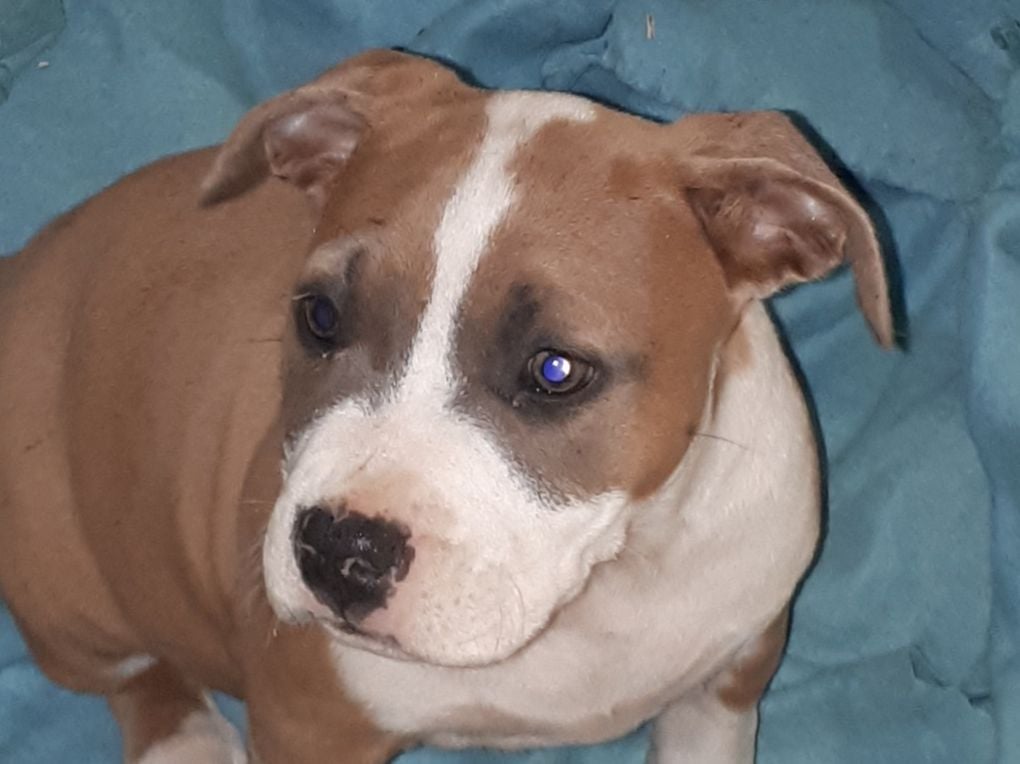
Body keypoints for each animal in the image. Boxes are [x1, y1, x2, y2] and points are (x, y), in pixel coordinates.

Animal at [0, 49, 891, 763]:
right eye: (320, 317)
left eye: (556, 370)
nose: (339, 551)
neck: (612, 585)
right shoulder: (307, 724)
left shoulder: (732, 673)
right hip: (65, 576)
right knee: (129, 673)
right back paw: (183, 741)